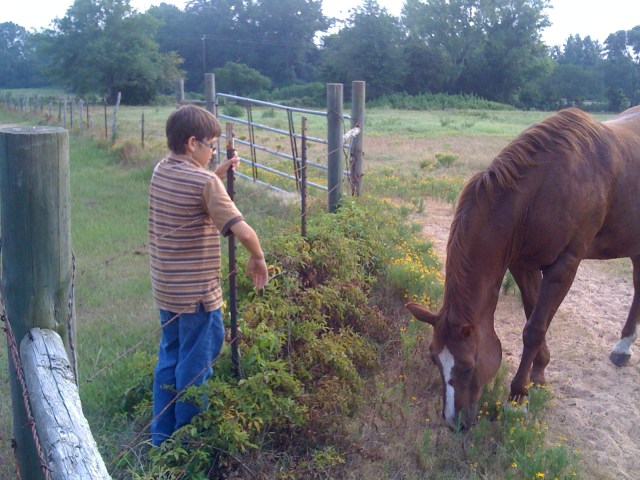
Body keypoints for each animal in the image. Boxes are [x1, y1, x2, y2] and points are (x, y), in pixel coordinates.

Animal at [406, 106, 640, 430]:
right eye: (434, 359)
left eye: (468, 364)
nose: (454, 423)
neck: (541, 191)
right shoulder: (522, 265)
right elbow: (533, 316)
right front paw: (538, 374)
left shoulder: (564, 266)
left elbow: (535, 328)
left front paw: (517, 398)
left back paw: (623, 347)